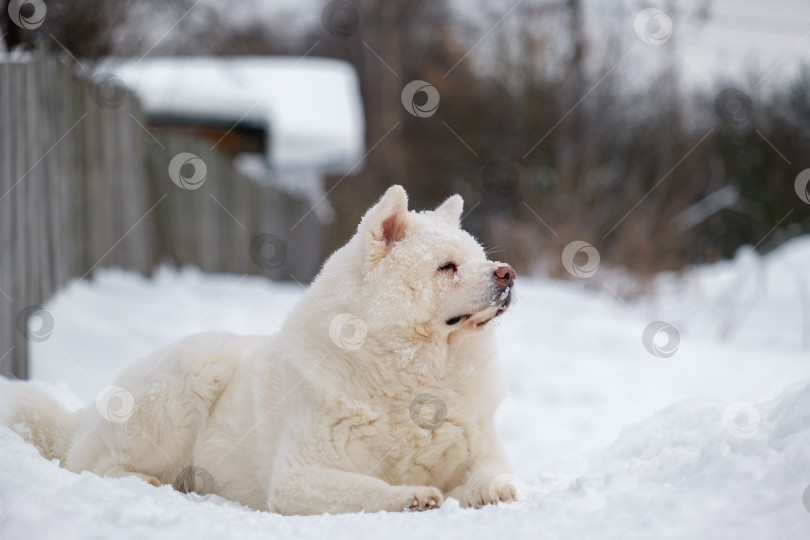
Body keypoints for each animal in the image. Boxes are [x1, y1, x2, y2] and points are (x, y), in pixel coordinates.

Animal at [1, 186, 516, 516]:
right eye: (446, 267)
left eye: (479, 257)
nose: (507, 273)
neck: (413, 374)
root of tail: (84, 417)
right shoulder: (299, 478)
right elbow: (369, 488)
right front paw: (411, 497)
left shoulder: (477, 448)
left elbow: (489, 472)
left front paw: (500, 490)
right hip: (197, 369)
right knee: (99, 467)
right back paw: (154, 483)